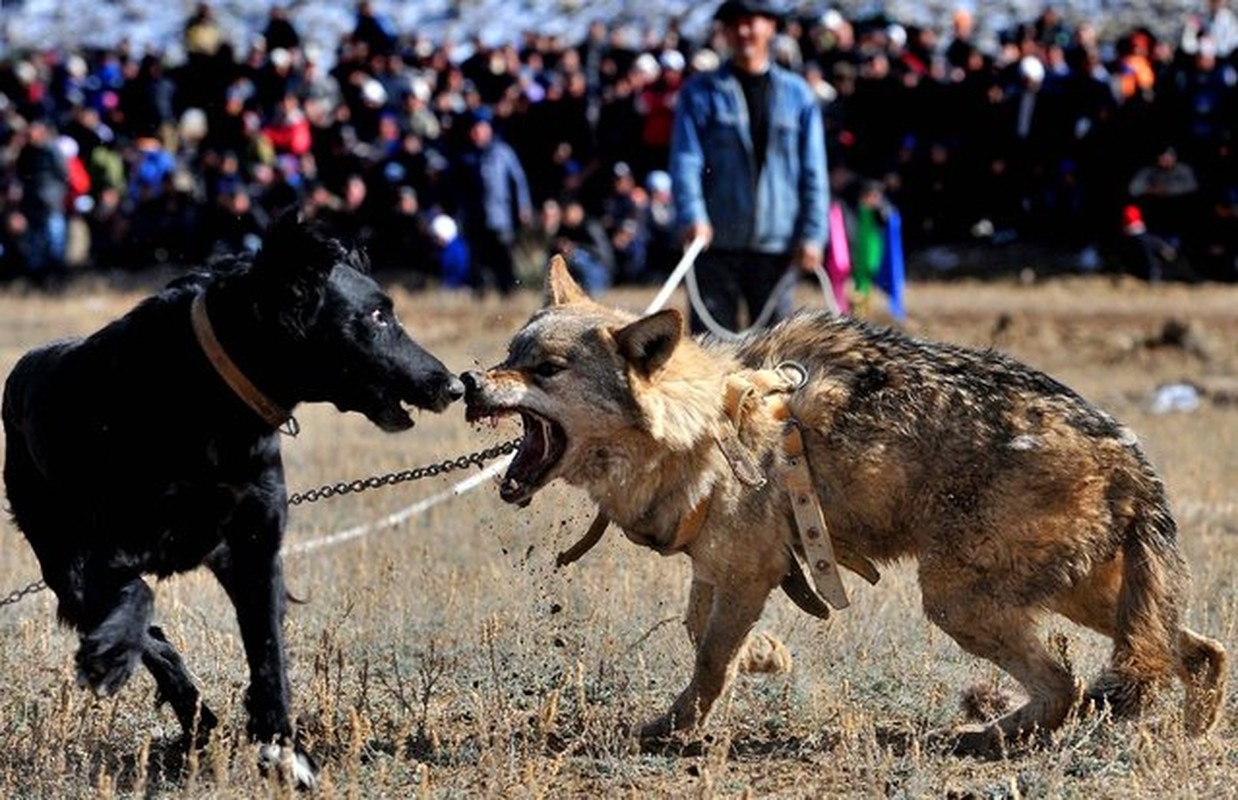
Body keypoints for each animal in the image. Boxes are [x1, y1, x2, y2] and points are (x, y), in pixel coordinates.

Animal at [2, 213, 465, 787]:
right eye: (378, 316)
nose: (452, 386)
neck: (212, 399)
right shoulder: (98, 557)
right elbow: (141, 598)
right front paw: (109, 656)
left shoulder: (254, 549)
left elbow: (269, 653)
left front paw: (282, 749)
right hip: (59, 559)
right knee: (145, 628)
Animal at [465, 260, 1228, 757]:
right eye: (509, 353)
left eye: (546, 370)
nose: (468, 381)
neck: (707, 420)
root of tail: (1129, 451)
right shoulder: (725, 567)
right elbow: (699, 631)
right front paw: (765, 657)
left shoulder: (748, 571)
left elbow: (708, 660)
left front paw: (677, 728)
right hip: (1084, 600)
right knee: (1195, 653)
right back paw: (1185, 739)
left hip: (958, 600)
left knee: (1069, 684)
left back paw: (988, 737)